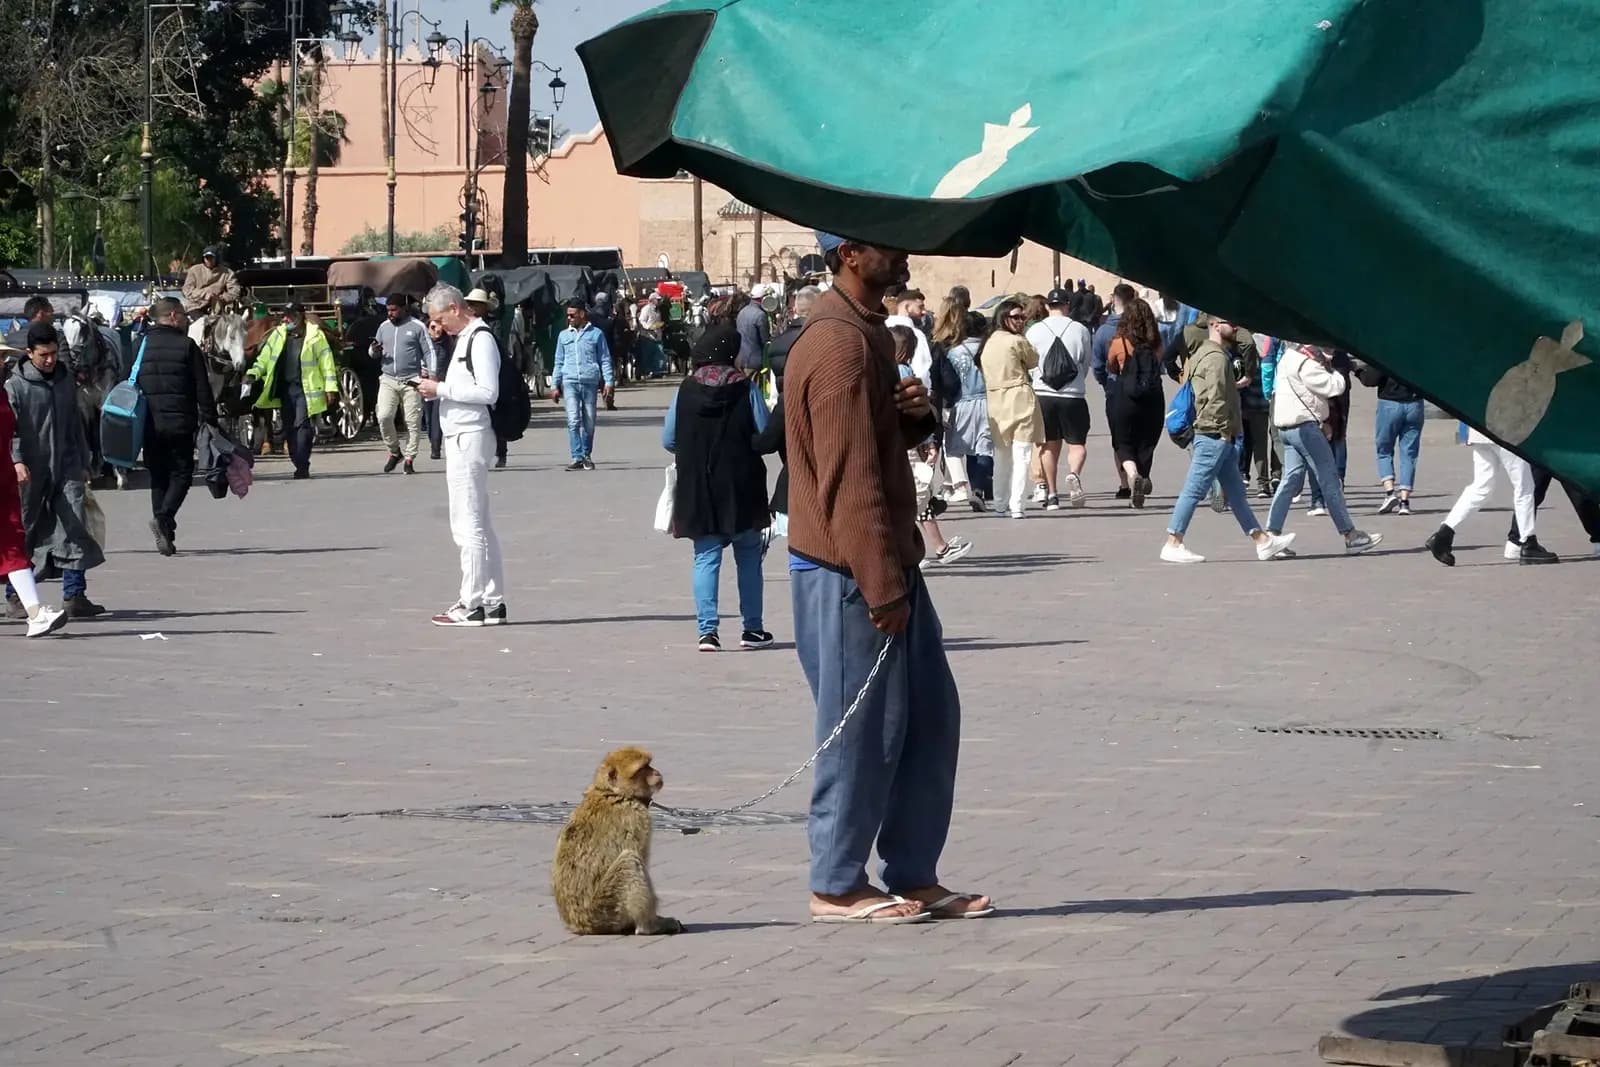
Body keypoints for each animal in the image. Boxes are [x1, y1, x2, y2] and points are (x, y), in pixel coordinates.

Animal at [551, 747, 683, 935]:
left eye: (649, 765)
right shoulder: (638, 818)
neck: (613, 792)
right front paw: (654, 921)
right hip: (605, 909)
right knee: (630, 861)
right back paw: (647, 926)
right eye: (643, 769)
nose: (657, 773)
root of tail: (581, 925)